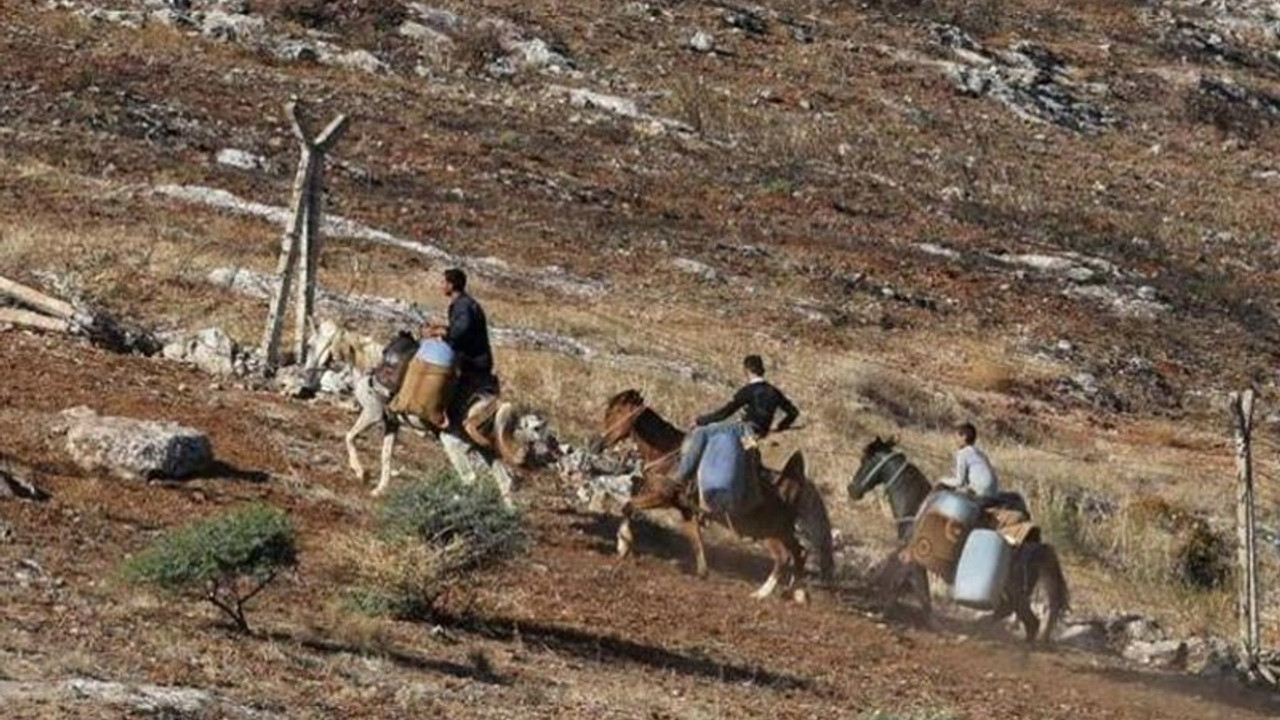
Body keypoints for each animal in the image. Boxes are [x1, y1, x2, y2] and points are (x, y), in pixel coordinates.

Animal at [343, 330, 552, 499]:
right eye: (536, 428)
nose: (544, 453)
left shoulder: (372, 414)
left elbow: (350, 437)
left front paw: (361, 473)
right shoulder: (391, 424)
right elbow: (386, 456)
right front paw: (378, 490)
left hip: (451, 443)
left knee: (469, 477)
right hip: (485, 452)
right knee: (503, 482)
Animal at [586, 389, 834, 597]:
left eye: (615, 412)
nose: (596, 444)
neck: (669, 455)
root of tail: (787, 490)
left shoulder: (660, 497)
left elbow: (627, 505)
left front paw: (623, 544)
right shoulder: (686, 510)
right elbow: (696, 539)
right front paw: (703, 572)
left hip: (769, 533)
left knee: (784, 557)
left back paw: (762, 593)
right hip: (783, 532)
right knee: (799, 553)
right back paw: (798, 593)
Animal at [849, 435, 1070, 640]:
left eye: (865, 459)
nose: (852, 489)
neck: (918, 507)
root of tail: (1037, 546)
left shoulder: (913, 561)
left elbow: (914, 591)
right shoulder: (912, 560)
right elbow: (903, 585)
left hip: (1015, 590)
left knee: (1028, 620)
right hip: (1015, 590)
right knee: (1013, 613)